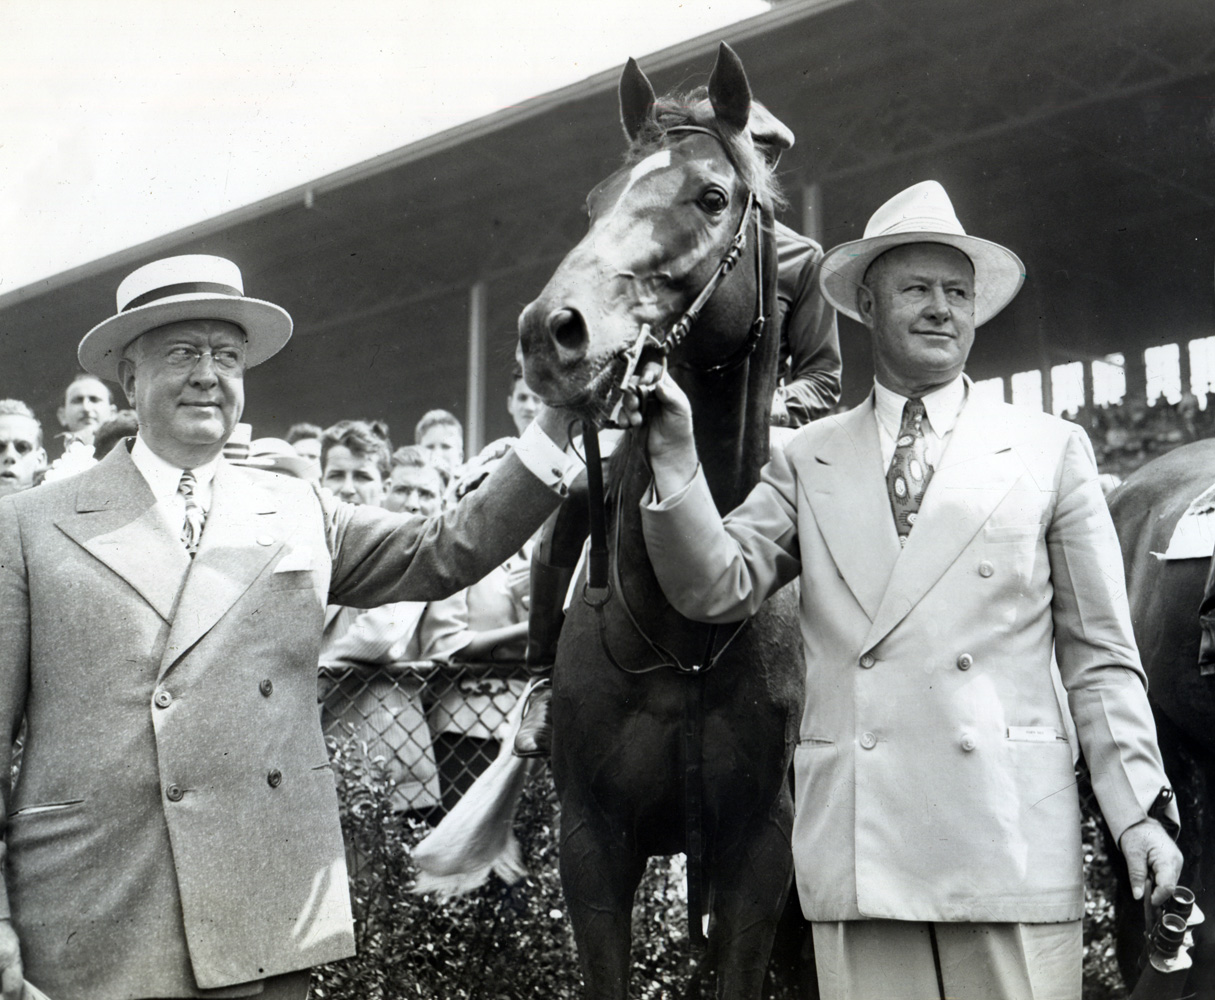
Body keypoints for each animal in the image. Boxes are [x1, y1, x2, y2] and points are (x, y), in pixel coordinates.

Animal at [515, 43, 806, 996]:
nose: (551, 332)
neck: (687, 631)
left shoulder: (762, 851)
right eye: (595, 201)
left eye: (710, 197)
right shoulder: (591, 847)